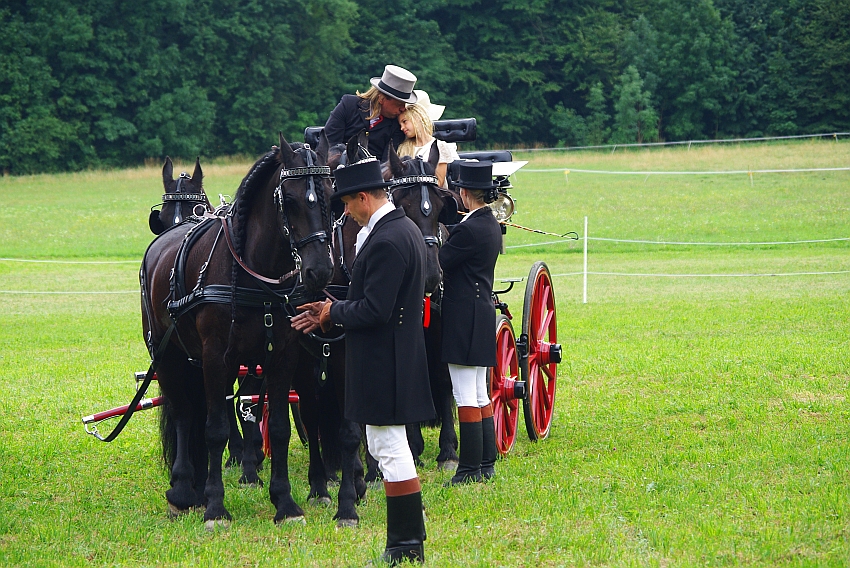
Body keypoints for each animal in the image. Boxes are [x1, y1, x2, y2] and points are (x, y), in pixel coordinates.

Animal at [141, 134, 332, 528]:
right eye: (289, 200)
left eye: (331, 194)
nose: (320, 270)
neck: (254, 272)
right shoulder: (217, 358)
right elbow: (215, 429)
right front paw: (215, 506)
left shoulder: (281, 357)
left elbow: (278, 426)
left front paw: (285, 502)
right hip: (168, 357)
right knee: (184, 413)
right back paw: (183, 490)